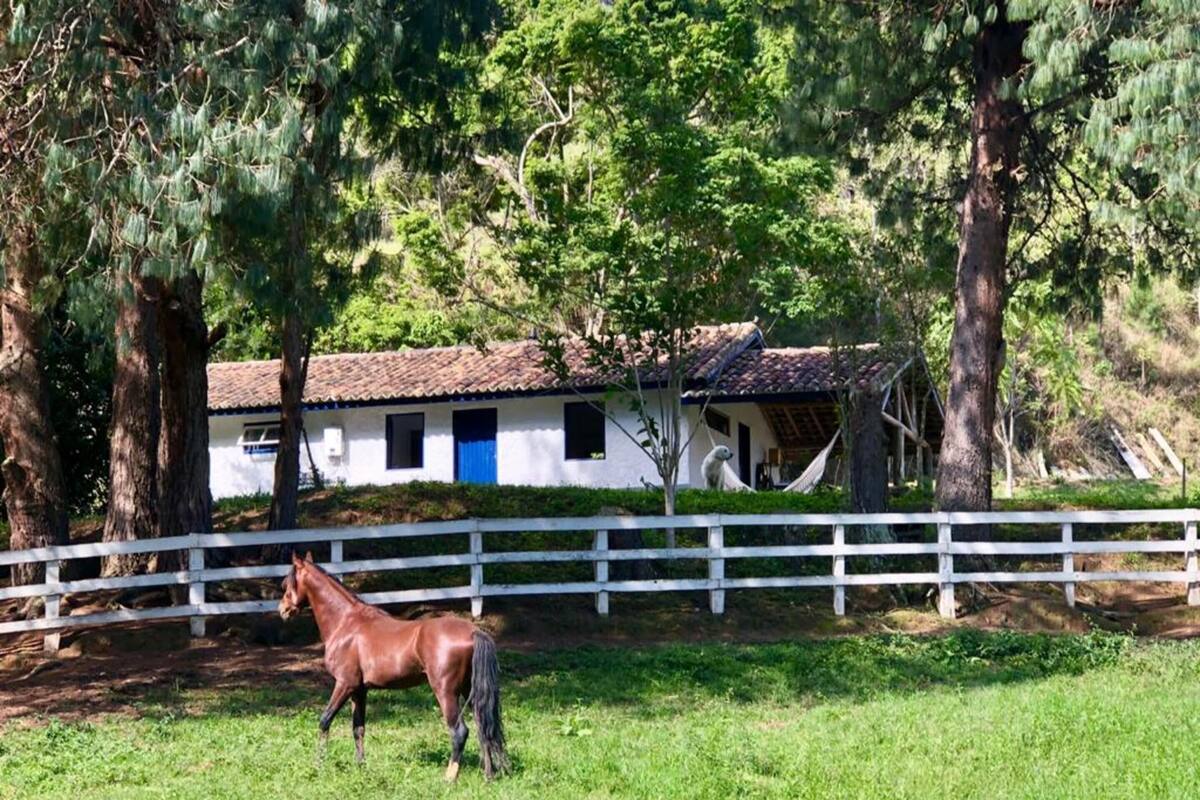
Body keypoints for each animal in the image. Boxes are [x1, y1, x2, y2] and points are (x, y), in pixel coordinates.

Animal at [278, 551, 509, 781]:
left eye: (286, 584)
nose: (283, 610)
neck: (346, 623)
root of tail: (473, 631)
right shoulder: (359, 690)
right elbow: (358, 728)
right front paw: (361, 767)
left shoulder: (345, 684)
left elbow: (325, 720)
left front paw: (318, 766)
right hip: (469, 689)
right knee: (483, 725)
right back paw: (489, 775)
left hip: (446, 692)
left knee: (460, 731)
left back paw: (450, 778)